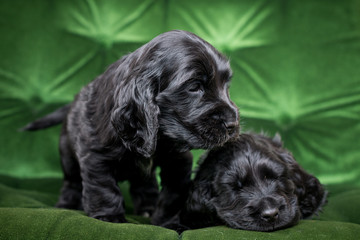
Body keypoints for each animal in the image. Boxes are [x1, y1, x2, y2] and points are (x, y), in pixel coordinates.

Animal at [23, 29, 240, 225]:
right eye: (195, 87)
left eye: (226, 86)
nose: (233, 124)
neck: (160, 137)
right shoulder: (95, 155)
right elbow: (104, 188)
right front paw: (109, 217)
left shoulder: (178, 160)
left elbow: (174, 193)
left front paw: (168, 221)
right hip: (67, 152)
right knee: (72, 181)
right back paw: (66, 204)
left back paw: (147, 208)